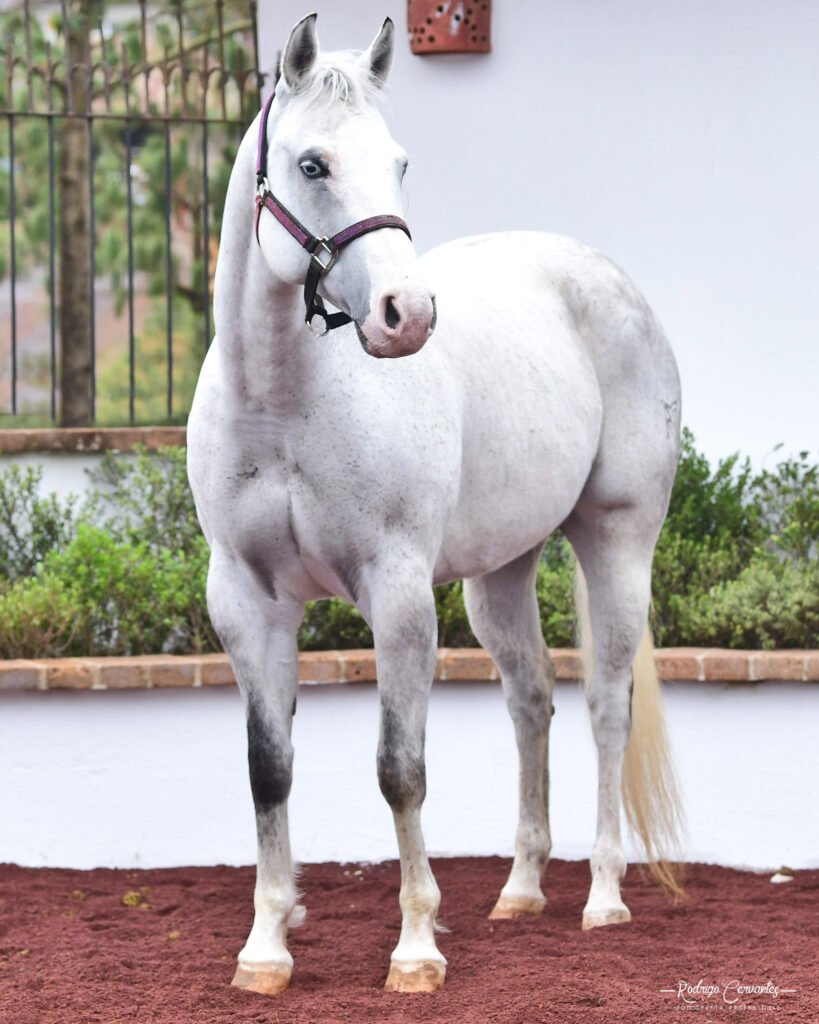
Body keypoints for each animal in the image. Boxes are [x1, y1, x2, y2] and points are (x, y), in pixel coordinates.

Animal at [187, 13, 684, 996]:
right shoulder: (247, 603)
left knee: (605, 705)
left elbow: (399, 769)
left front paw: (415, 948)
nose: (405, 314)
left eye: (400, 162)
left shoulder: (399, 595)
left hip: (616, 543)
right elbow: (269, 770)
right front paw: (266, 947)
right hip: (501, 573)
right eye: (312, 164)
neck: (283, 407)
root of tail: (606, 279)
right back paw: (521, 891)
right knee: (531, 700)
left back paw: (603, 896)